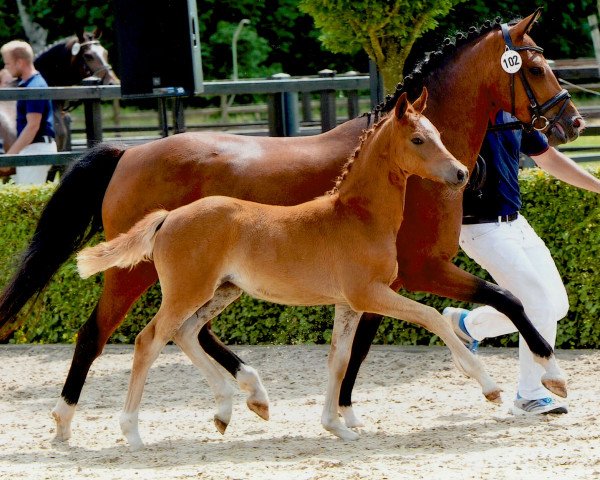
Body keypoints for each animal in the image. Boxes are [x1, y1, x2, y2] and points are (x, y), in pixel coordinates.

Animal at [0, 11, 584, 440]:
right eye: (534, 68)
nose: (572, 121)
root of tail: (128, 153)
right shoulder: (423, 269)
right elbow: (508, 300)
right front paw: (550, 375)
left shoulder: (382, 283)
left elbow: (355, 348)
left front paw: (343, 415)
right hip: (133, 274)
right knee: (100, 334)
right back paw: (66, 423)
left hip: (211, 281)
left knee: (191, 330)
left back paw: (245, 396)